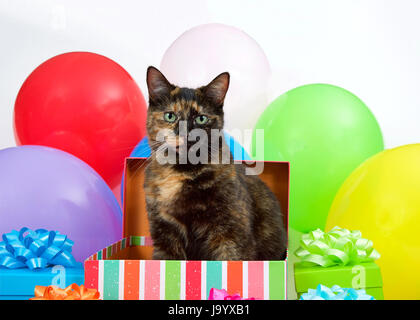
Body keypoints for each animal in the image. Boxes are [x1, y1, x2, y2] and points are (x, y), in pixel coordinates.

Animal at [144, 67, 286, 260]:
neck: (181, 172)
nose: (186, 133)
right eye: (170, 116)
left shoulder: (231, 234)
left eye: (201, 119)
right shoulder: (164, 234)